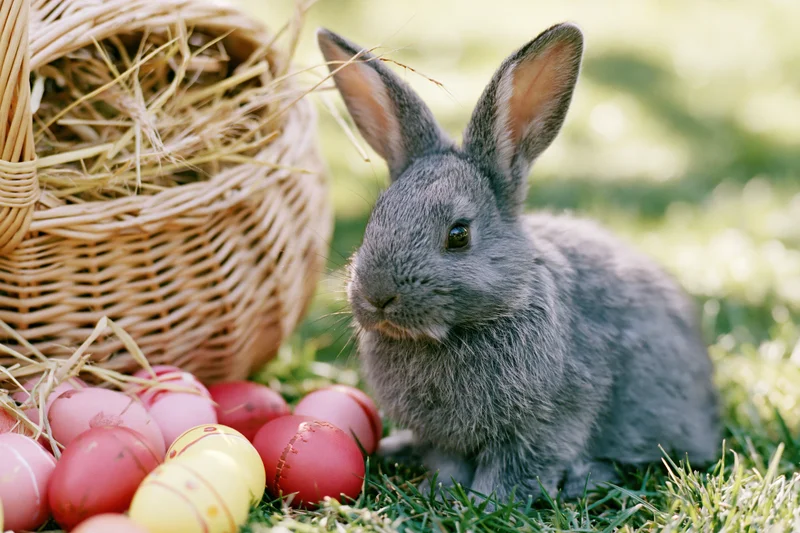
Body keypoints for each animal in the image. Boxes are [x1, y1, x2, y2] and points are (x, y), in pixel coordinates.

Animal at [317, 22, 721, 503]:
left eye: (458, 235)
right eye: (374, 220)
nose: (377, 296)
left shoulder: (547, 424)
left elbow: (514, 468)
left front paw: (483, 503)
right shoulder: (441, 439)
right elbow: (447, 461)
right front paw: (443, 491)